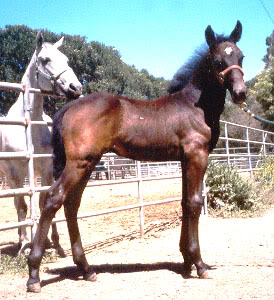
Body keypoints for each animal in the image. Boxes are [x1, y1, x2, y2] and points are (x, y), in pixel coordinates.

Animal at [0, 31, 82, 254]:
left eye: (67, 60)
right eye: (45, 60)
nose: (76, 88)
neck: (30, 124)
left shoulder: (46, 169)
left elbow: (45, 200)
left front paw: (51, 241)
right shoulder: (16, 173)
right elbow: (21, 206)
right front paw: (25, 244)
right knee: (17, 202)